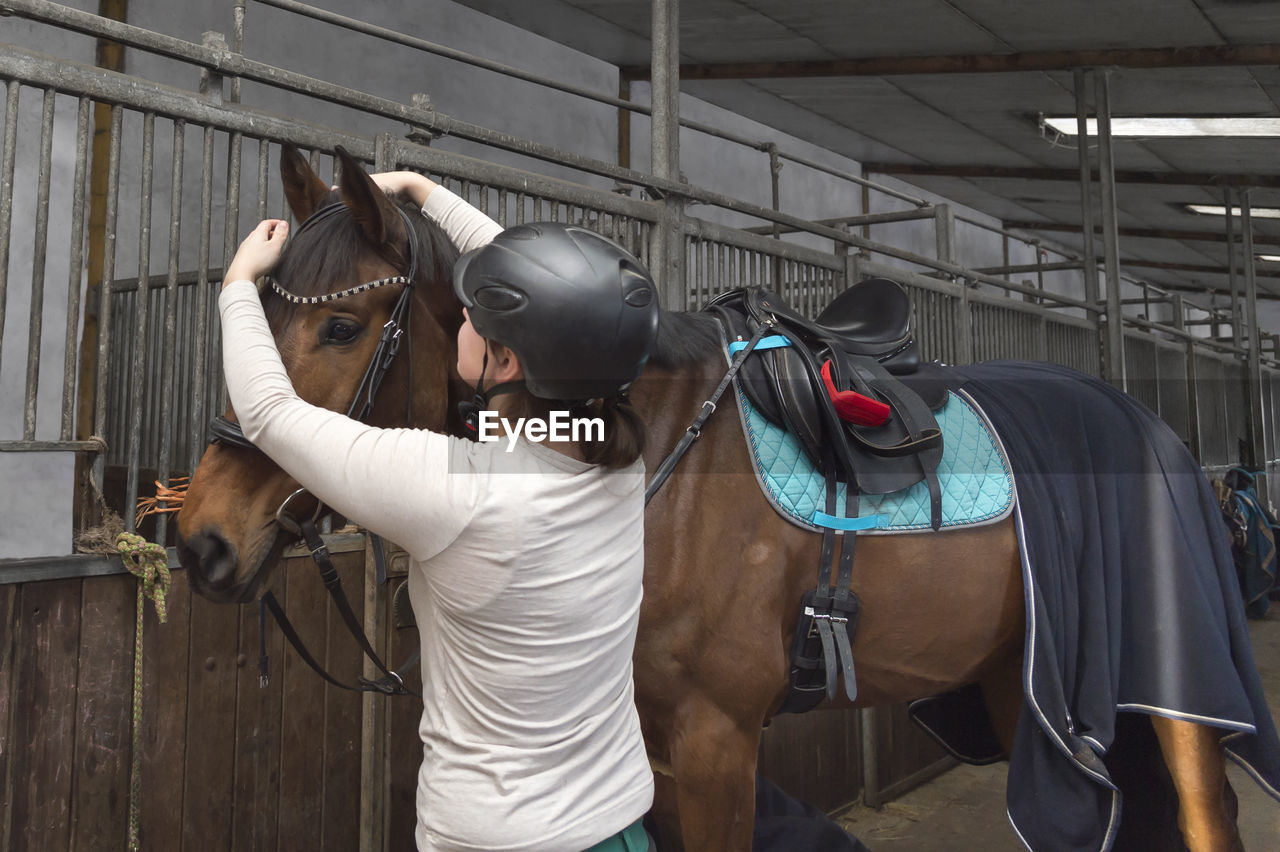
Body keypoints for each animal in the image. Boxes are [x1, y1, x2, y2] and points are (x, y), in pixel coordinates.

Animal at [177, 147, 1259, 849]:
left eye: (341, 327)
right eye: (259, 309)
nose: (200, 542)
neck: (650, 467)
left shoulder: (715, 746)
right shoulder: (643, 755)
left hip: (1169, 701)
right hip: (1018, 684)